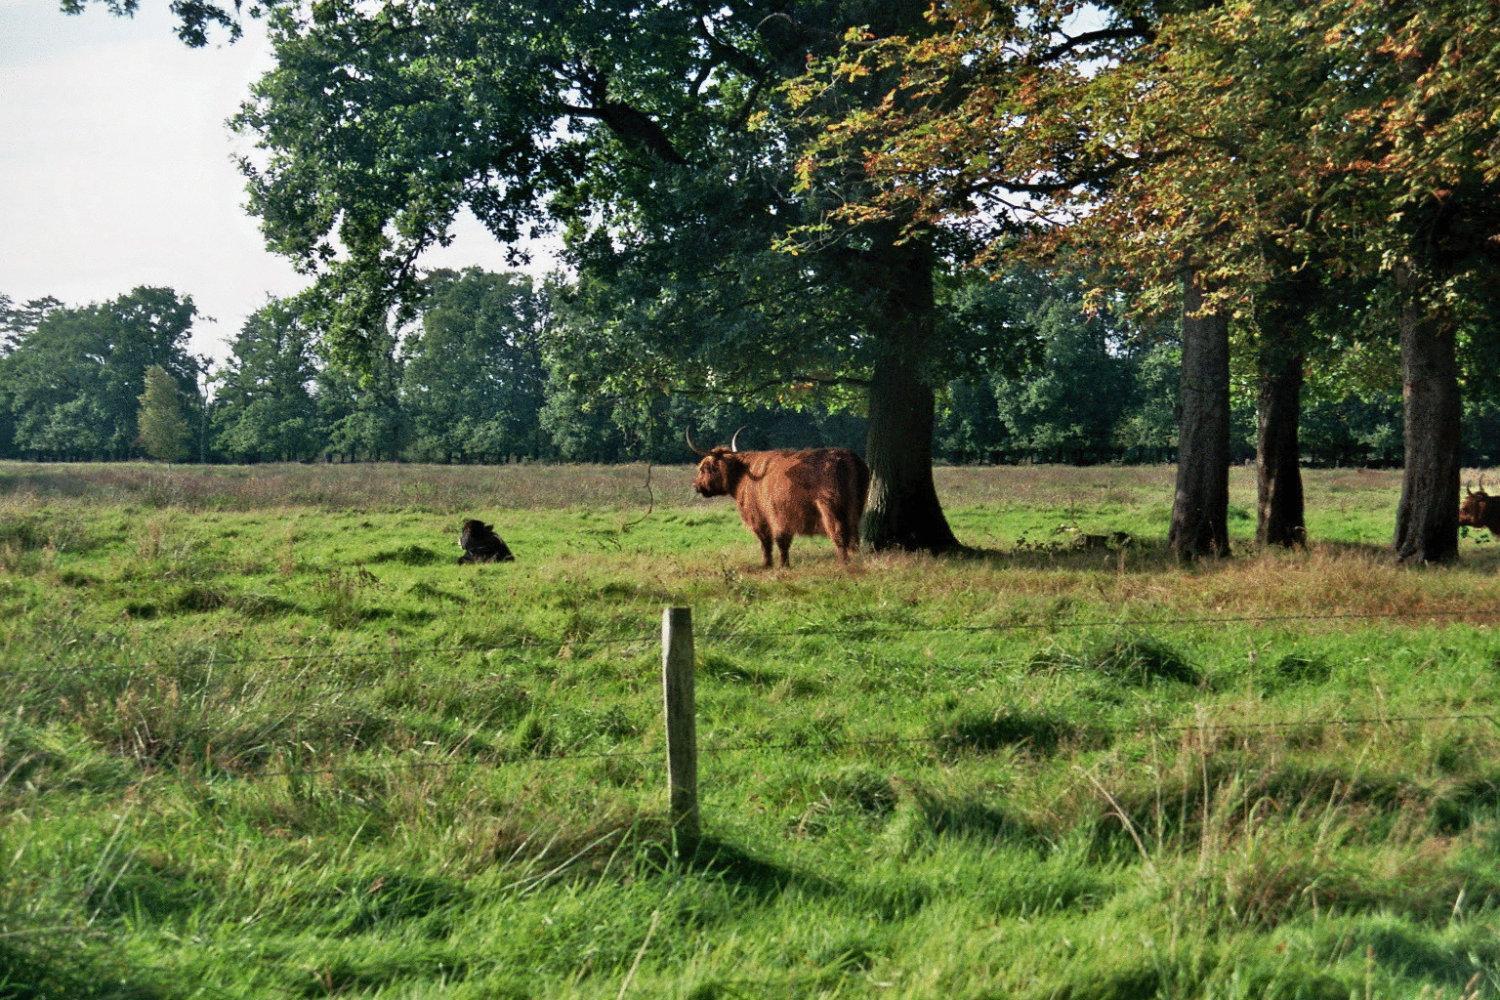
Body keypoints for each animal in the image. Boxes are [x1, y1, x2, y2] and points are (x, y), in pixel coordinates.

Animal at [687, 425, 870, 566]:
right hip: (856, 506)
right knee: (854, 535)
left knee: (839, 534)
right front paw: (781, 564)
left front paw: (771, 564)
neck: (743, 476)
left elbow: (769, 542)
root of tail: (846, 457)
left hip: (830, 507)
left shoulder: (763, 517)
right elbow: (781, 541)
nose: (696, 486)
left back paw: (844, 563)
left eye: (705, 468)